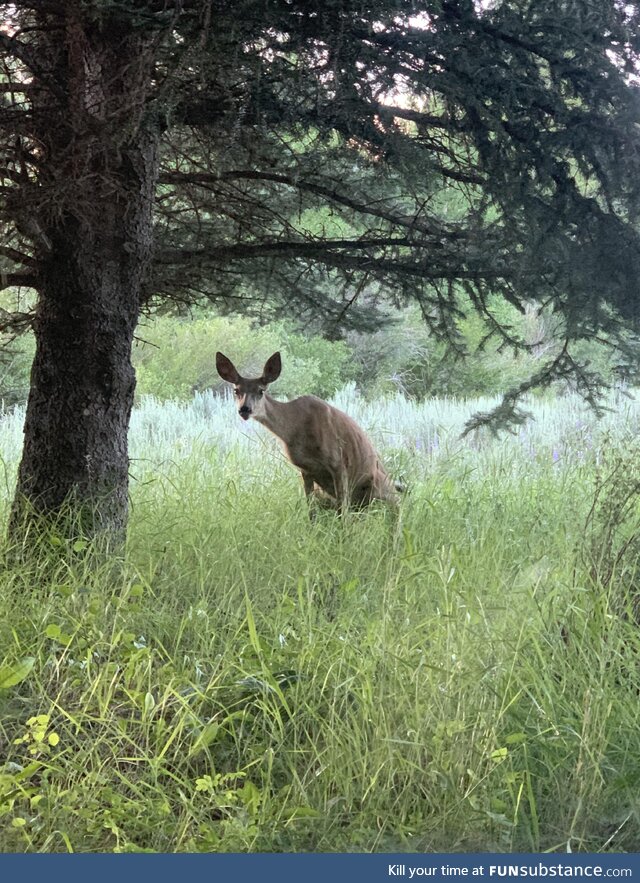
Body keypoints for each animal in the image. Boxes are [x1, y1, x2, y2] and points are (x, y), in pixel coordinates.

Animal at [218, 350, 402, 512]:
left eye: (261, 390)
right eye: (236, 390)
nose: (244, 409)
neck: (296, 430)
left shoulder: (338, 462)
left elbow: (344, 514)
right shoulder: (305, 469)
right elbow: (311, 512)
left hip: (379, 486)